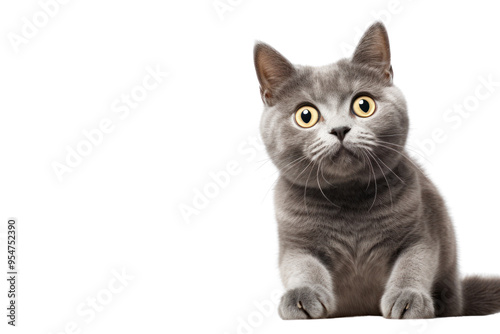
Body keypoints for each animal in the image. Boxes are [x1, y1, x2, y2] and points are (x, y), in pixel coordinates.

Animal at [256, 22, 500, 320]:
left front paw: (408, 298)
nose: (340, 129)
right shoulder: (296, 242)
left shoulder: (420, 232)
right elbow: (302, 266)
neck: (348, 198)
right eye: (306, 115)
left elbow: (413, 264)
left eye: (363, 105)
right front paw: (302, 297)